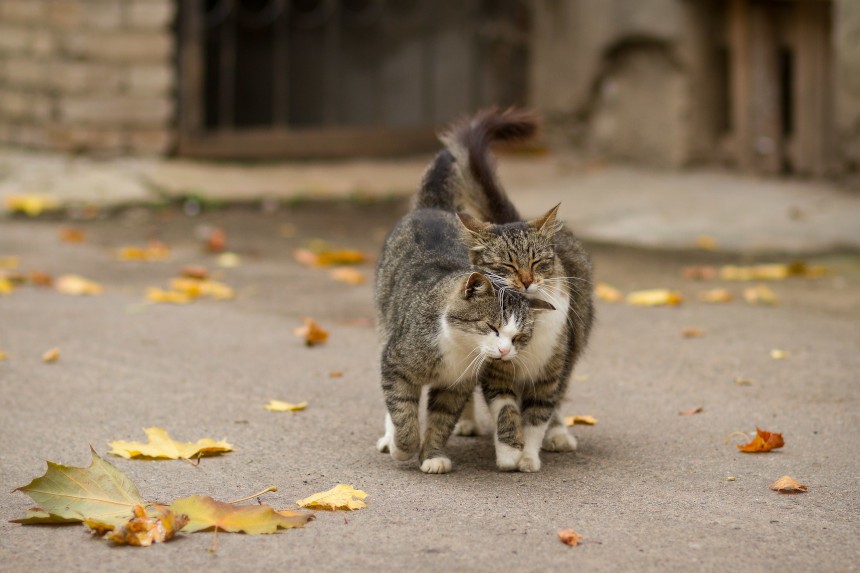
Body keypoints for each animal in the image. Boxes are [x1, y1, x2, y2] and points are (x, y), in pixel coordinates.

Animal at [374, 150, 556, 472]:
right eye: (492, 327)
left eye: (519, 337)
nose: (505, 352)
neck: (457, 349)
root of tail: (432, 208)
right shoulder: (395, 362)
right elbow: (402, 411)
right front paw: (402, 446)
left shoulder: (456, 386)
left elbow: (441, 421)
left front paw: (432, 455)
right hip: (386, 327)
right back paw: (389, 436)